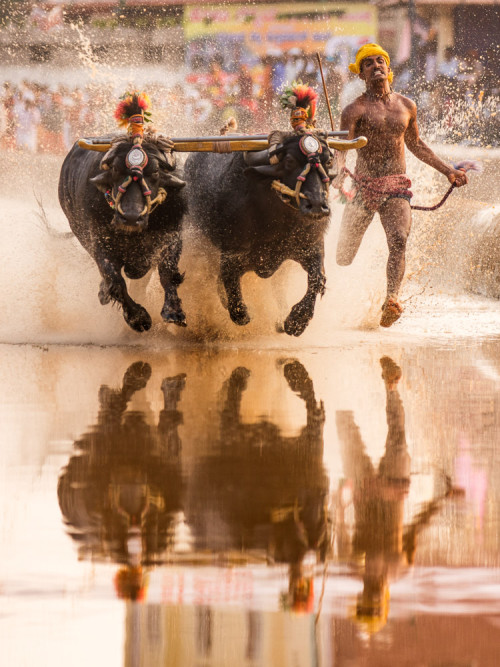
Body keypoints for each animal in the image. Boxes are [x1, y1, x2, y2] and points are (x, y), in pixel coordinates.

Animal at [59, 136, 188, 334]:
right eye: (114, 169)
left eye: (156, 171)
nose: (131, 217)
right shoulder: (100, 244)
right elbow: (116, 282)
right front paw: (138, 318)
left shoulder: (172, 237)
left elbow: (167, 272)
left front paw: (173, 312)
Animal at [186, 132, 334, 336]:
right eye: (289, 161)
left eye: (328, 161)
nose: (318, 205)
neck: (278, 222)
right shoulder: (232, 253)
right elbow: (229, 281)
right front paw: (240, 312)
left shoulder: (312, 246)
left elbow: (317, 278)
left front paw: (297, 321)